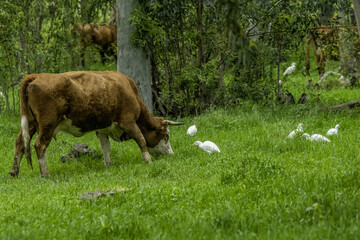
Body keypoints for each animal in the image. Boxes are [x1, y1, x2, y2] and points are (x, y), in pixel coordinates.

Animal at [9, 71, 184, 176]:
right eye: (166, 136)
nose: (171, 154)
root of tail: (37, 76)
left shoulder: (103, 128)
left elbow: (105, 146)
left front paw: (108, 164)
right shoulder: (128, 121)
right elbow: (141, 139)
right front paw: (147, 160)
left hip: (30, 123)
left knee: (19, 143)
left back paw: (14, 172)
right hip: (47, 125)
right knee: (40, 146)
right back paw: (45, 173)